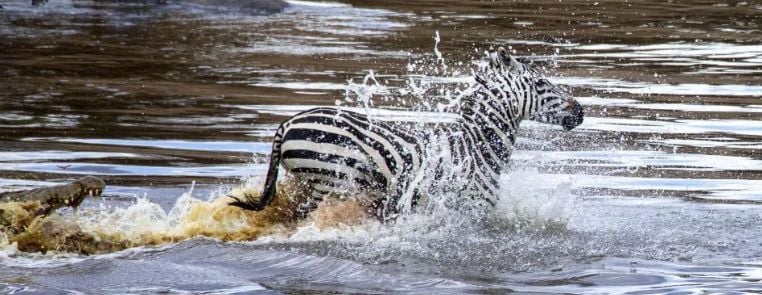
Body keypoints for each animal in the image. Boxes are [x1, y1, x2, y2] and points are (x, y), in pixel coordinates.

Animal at [229, 47, 584, 221]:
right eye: (542, 84)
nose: (580, 111)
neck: (477, 144)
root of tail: (287, 124)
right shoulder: (473, 206)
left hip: (307, 184)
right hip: (328, 182)